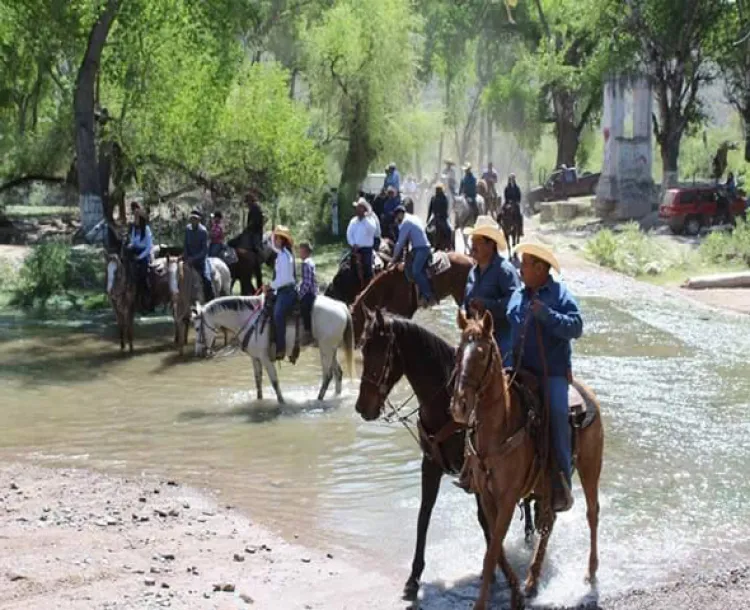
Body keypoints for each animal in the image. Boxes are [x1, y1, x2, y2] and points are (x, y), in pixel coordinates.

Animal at [191, 294, 356, 404]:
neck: (249, 320)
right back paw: (336, 396)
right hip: (330, 349)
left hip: (326, 349)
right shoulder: (255, 358)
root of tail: (341, 306)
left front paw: (282, 402)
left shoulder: (265, 357)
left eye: (197, 328)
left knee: (327, 376)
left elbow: (274, 381)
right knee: (338, 373)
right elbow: (258, 381)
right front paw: (259, 401)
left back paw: (318, 399)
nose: (198, 353)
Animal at [356, 308, 494, 600]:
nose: (362, 407)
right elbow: (424, 516)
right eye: (362, 347)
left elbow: (485, 519)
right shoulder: (430, 465)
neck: (447, 406)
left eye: (378, 350)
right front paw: (413, 579)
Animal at [452, 308, 604, 608]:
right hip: (545, 485)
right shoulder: (486, 496)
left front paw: (483, 602)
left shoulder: (508, 496)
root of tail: (587, 393)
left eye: (482, 354)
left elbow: (493, 549)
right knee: (548, 520)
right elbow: (495, 546)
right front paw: (515, 591)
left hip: (590, 468)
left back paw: (590, 572)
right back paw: (532, 580)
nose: (460, 406)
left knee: (592, 513)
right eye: (459, 350)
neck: (501, 425)